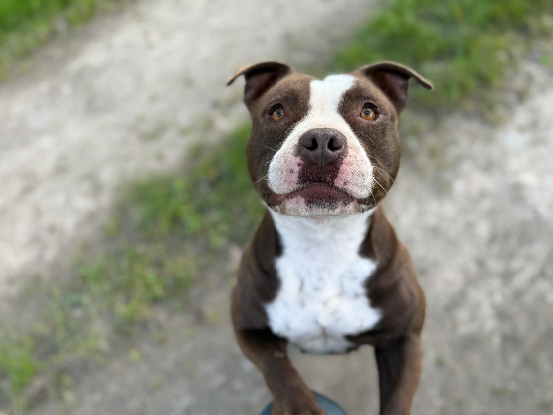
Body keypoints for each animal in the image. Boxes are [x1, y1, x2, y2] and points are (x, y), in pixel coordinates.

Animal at [227, 60, 432, 415]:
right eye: (277, 112)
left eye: (368, 111)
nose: (321, 140)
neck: (323, 241)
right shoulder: (247, 326)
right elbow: (278, 368)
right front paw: (300, 407)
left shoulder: (404, 337)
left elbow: (396, 400)